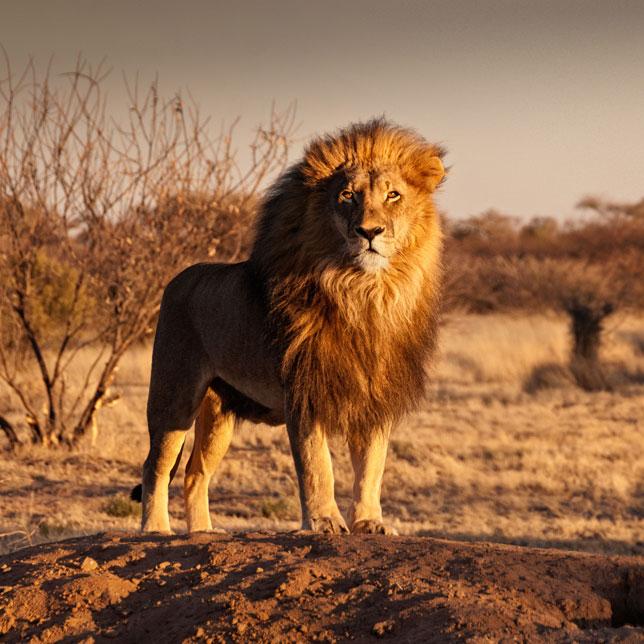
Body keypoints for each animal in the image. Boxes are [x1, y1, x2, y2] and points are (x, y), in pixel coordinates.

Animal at [132, 118, 446, 535]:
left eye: (393, 195)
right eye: (347, 195)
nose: (369, 232)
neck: (365, 294)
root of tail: (178, 278)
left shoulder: (375, 397)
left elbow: (371, 468)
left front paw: (369, 522)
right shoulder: (303, 391)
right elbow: (317, 465)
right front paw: (325, 521)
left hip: (218, 414)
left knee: (195, 473)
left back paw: (202, 532)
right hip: (175, 395)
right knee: (156, 465)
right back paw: (156, 530)